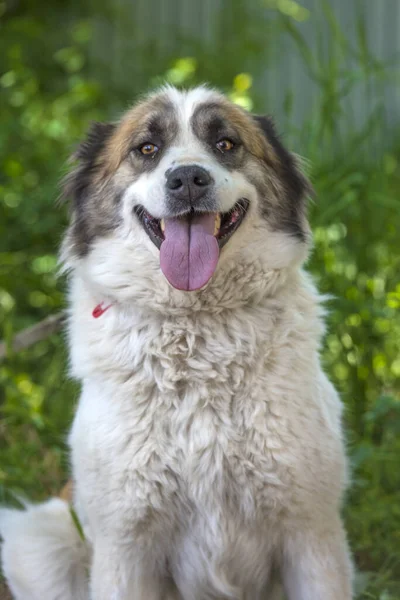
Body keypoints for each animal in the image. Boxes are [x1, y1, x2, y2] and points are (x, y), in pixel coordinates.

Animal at [0, 85, 354, 600]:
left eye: (226, 144)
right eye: (147, 149)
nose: (187, 178)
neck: (195, 327)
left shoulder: (313, 535)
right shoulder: (124, 548)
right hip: (39, 540)